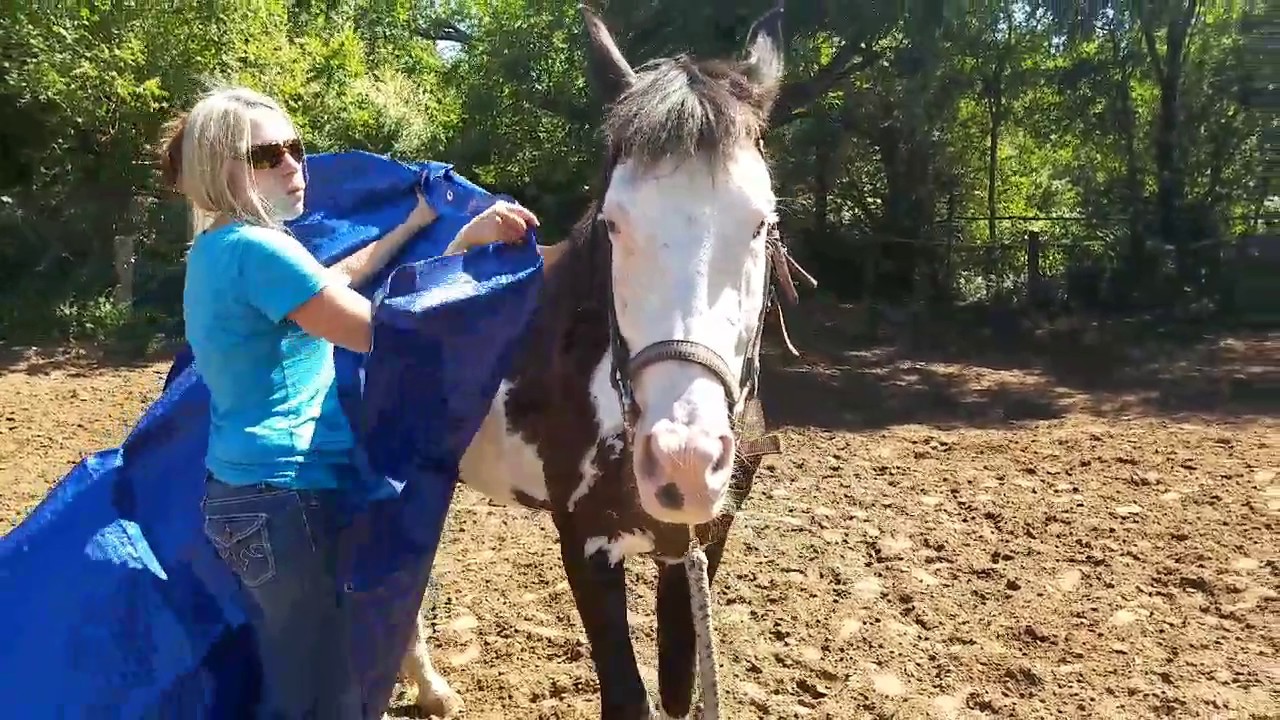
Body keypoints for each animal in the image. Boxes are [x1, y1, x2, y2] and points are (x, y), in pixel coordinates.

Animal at [399, 3, 811, 718]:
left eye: (763, 222)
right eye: (614, 223)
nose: (681, 461)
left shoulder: (700, 544)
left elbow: (679, 689)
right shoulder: (586, 546)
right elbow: (627, 697)